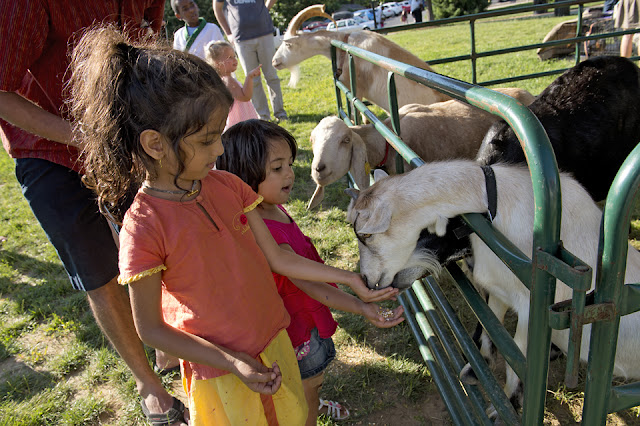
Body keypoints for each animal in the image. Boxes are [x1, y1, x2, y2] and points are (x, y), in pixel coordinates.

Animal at [344, 161, 640, 416]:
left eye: (365, 235)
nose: (368, 280)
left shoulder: (532, 308)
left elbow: (518, 357)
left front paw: (505, 407)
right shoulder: (499, 289)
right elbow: (491, 326)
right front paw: (477, 369)